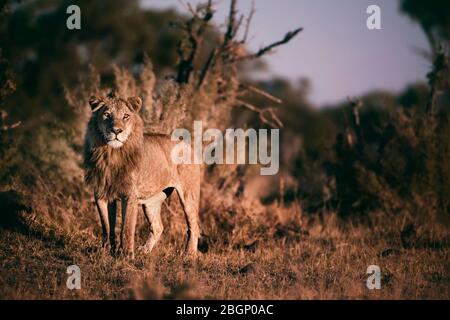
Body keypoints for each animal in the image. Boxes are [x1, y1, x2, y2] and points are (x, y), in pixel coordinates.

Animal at [83, 91, 200, 258]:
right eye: (107, 115)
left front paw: (126, 255)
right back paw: (145, 250)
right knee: (158, 227)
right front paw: (105, 251)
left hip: (188, 196)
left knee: (194, 226)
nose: (116, 131)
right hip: (151, 201)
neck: (111, 154)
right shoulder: (101, 194)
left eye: (126, 116)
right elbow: (106, 226)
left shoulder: (130, 195)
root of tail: (188, 145)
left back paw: (189, 254)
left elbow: (127, 228)